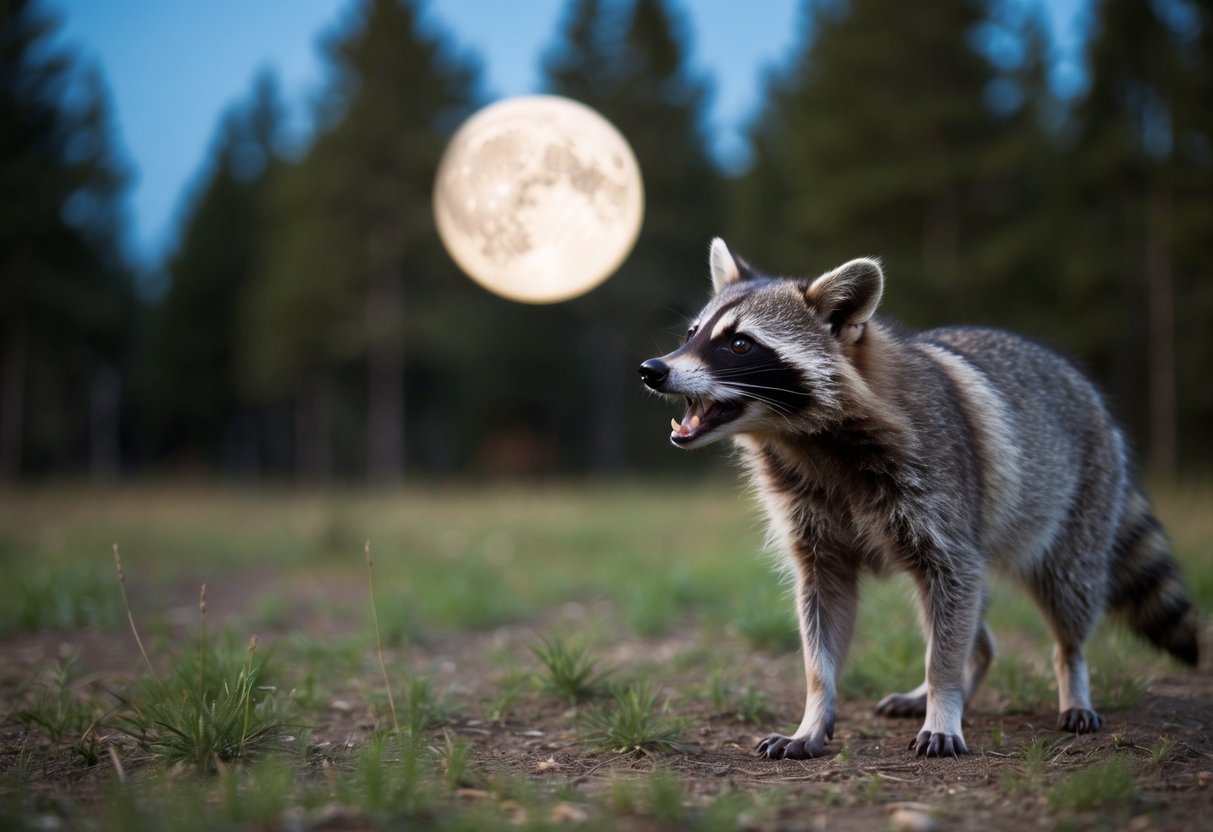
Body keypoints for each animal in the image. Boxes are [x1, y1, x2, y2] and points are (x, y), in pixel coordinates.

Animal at [639, 238, 1200, 759]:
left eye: (739, 344)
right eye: (692, 334)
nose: (652, 368)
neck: (802, 439)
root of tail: (1087, 390)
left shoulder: (937, 486)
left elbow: (948, 618)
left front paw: (944, 696)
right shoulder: (813, 525)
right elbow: (822, 620)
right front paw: (815, 712)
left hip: (1078, 505)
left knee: (1063, 596)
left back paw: (1068, 676)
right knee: (970, 616)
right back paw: (972, 665)